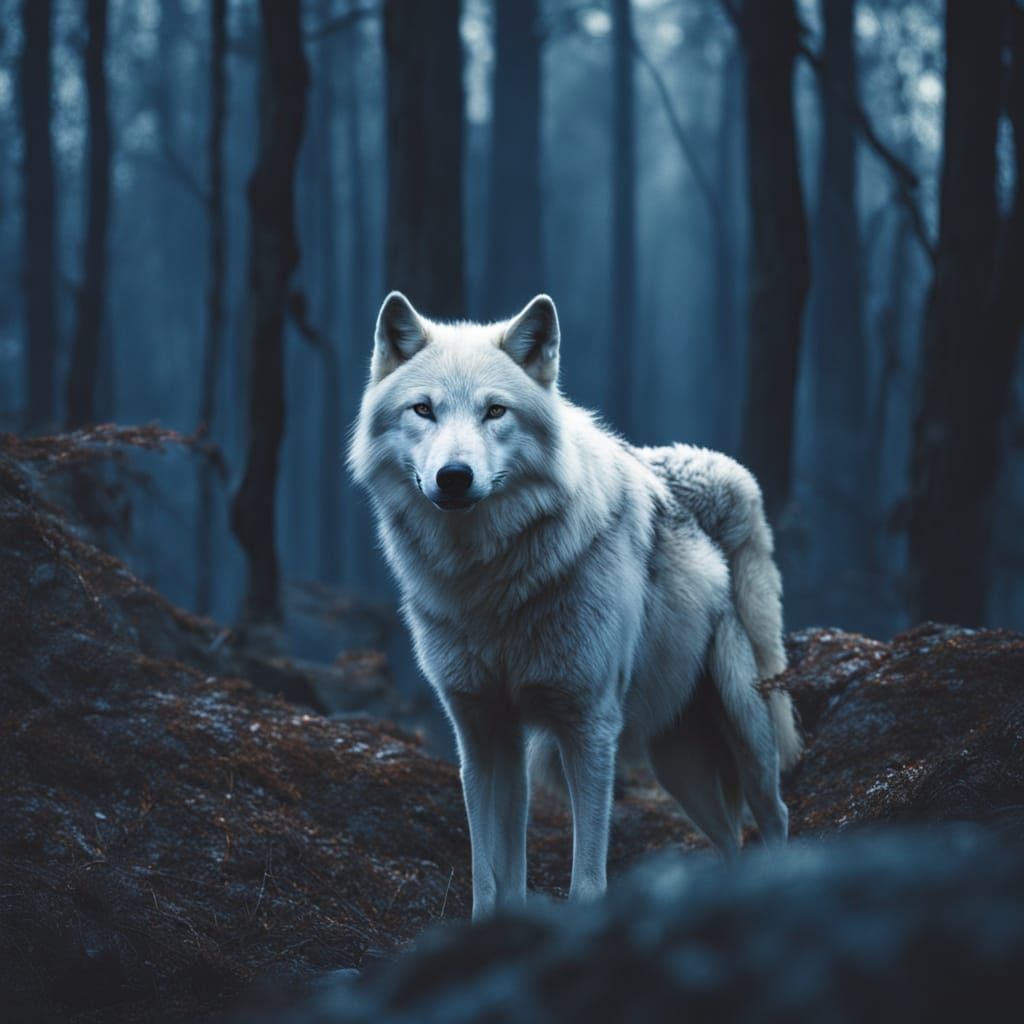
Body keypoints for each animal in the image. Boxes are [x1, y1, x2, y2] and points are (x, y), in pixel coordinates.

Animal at [349, 292, 802, 919]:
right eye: (423, 409)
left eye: (495, 412)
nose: (454, 477)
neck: (488, 581)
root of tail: (716, 480)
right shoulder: (484, 731)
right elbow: (492, 874)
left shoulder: (587, 726)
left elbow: (587, 878)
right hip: (677, 763)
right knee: (730, 836)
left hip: (746, 729)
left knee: (774, 816)